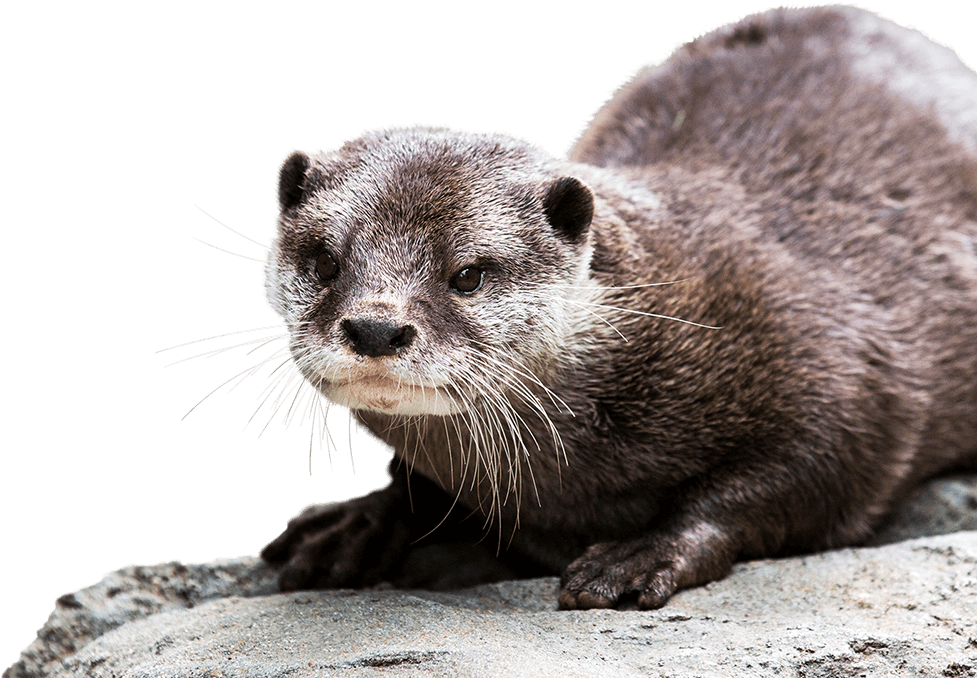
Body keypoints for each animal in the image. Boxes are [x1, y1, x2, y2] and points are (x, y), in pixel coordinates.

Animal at [254, 5, 976, 610]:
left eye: (468, 274)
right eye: (324, 262)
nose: (376, 327)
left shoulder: (849, 377)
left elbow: (802, 477)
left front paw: (639, 554)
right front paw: (356, 522)